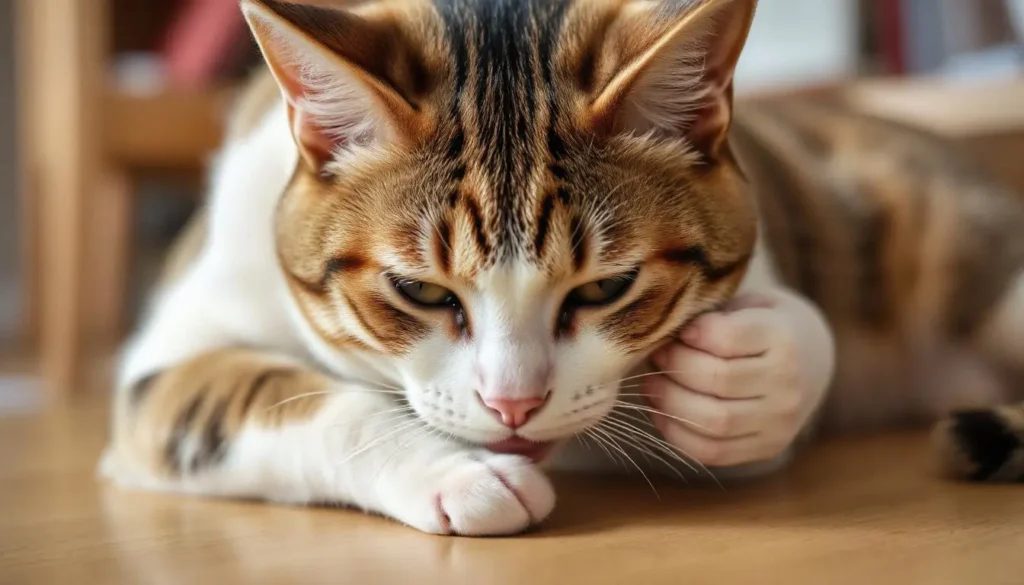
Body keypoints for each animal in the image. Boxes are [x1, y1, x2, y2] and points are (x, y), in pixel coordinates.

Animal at [99, 0, 1024, 536]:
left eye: (606, 286)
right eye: (420, 290)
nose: (514, 404)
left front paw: (751, 377)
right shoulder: (167, 353)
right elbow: (275, 397)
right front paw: (453, 469)